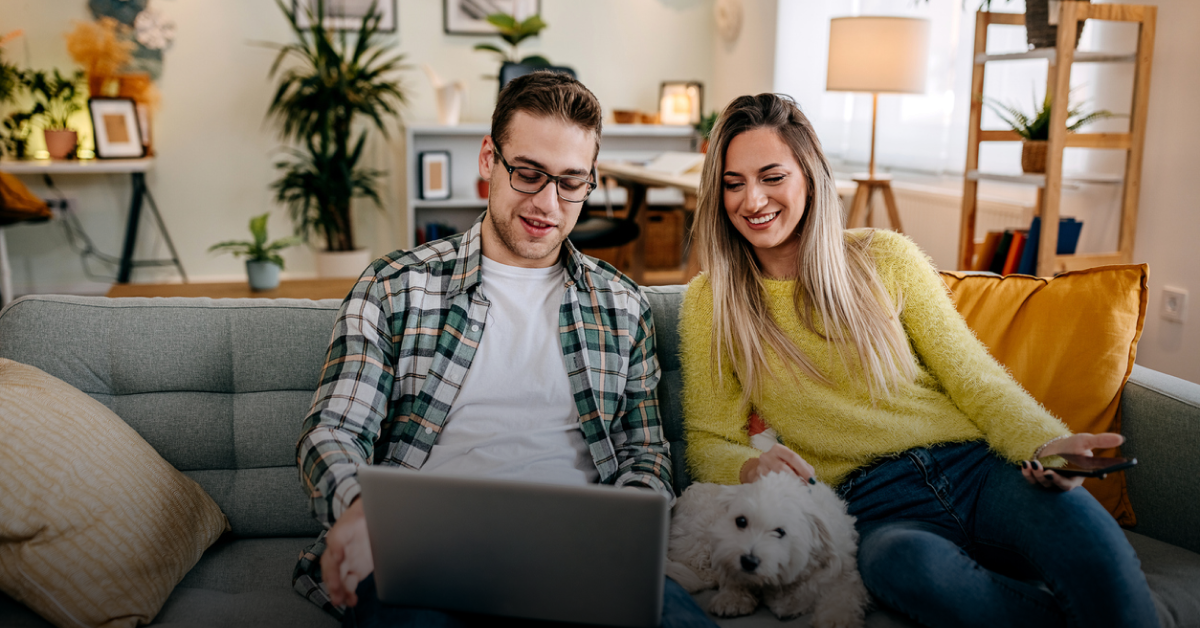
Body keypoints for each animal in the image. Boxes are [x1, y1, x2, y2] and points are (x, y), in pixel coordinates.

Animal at [667, 470, 873, 628]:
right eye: (741, 521)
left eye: (780, 532)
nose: (748, 561)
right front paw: (733, 597)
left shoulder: (845, 578)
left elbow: (842, 598)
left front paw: (836, 619)